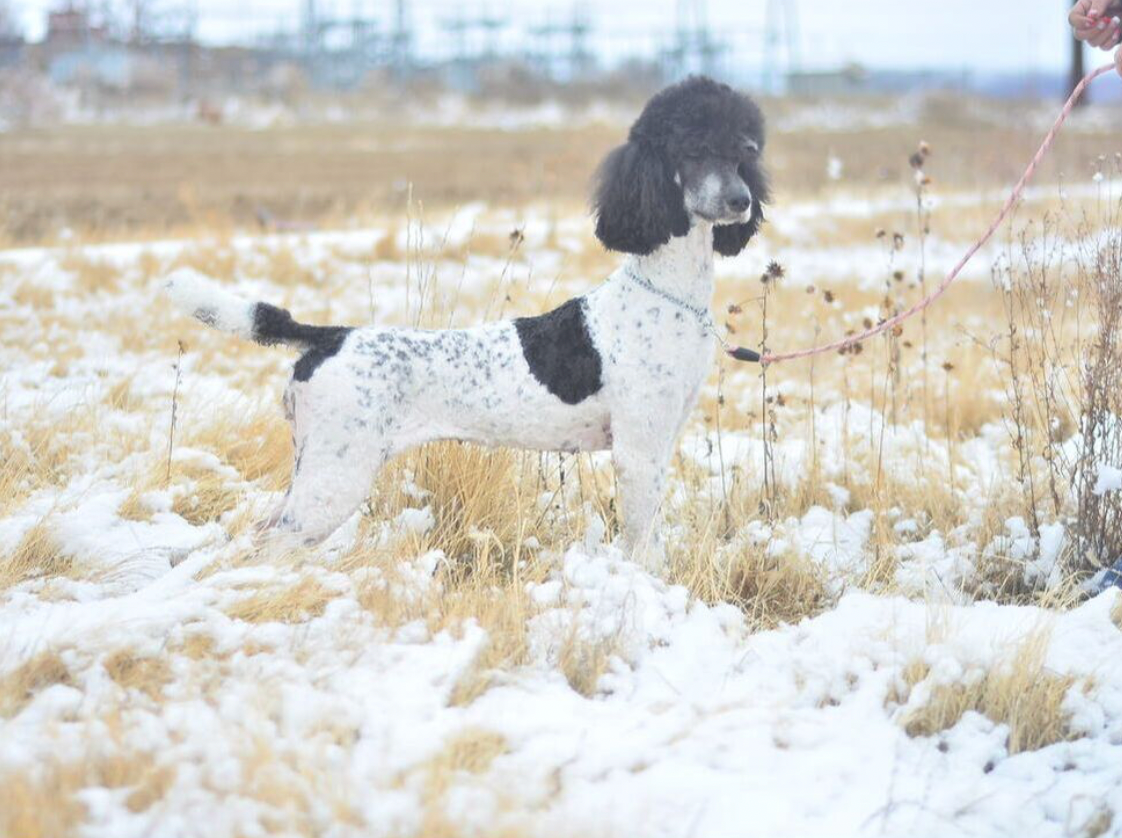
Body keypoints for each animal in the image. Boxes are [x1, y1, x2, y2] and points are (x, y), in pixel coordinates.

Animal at [166, 75, 767, 569]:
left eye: (745, 151)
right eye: (692, 150)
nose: (741, 201)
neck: (666, 291)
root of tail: (330, 338)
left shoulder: (656, 445)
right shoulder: (638, 452)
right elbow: (644, 547)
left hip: (314, 469)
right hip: (335, 476)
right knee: (269, 544)